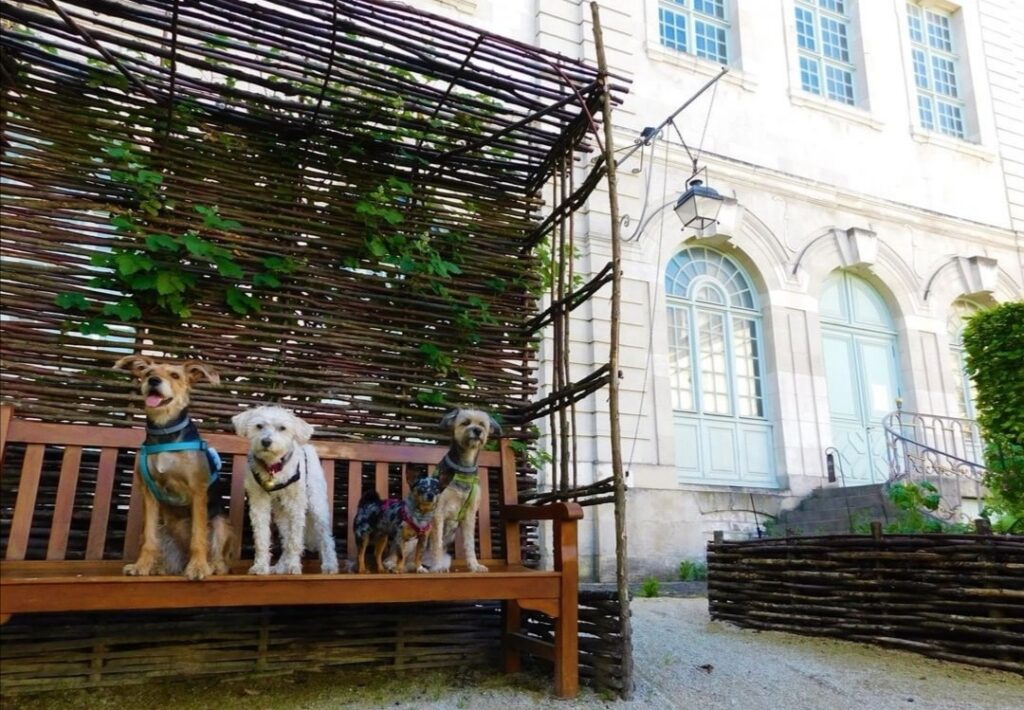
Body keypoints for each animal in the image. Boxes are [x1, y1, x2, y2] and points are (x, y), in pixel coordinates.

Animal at [115, 356, 234, 577]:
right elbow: (148, 539)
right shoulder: (149, 493)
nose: (153, 380)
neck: (165, 431)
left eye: (175, 375)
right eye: (147, 373)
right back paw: (158, 567)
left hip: (221, 523)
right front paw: (141, 565)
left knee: (219, 556)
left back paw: (212, 565)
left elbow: (198, 537)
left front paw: (198, 567)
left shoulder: (198, 491)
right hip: (163, 528)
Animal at [232, 403, 339, 577]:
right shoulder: (258, 502)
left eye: (282, 428)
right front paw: (260, 566)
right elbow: (262, 537)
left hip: (317, 504)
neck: (273, 467)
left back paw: (330, 565)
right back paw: (280, 566)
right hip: (281, 512)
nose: (266, 441)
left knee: (325, 537)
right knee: (286, 536)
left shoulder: (297, 505)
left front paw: (293, 566)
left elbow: (295, 540)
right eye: (259, 426)